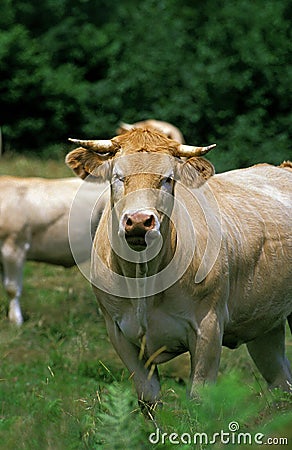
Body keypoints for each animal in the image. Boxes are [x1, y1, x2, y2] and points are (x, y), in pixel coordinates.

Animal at [66, 128, 292, 414]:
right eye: (118, 177)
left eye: (167, 178)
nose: (138, 221)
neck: (143, 278)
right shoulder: (118, 331)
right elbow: (148, 398)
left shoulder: (208, 326)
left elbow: (198, 398)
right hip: (264, 322)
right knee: (281, 381)